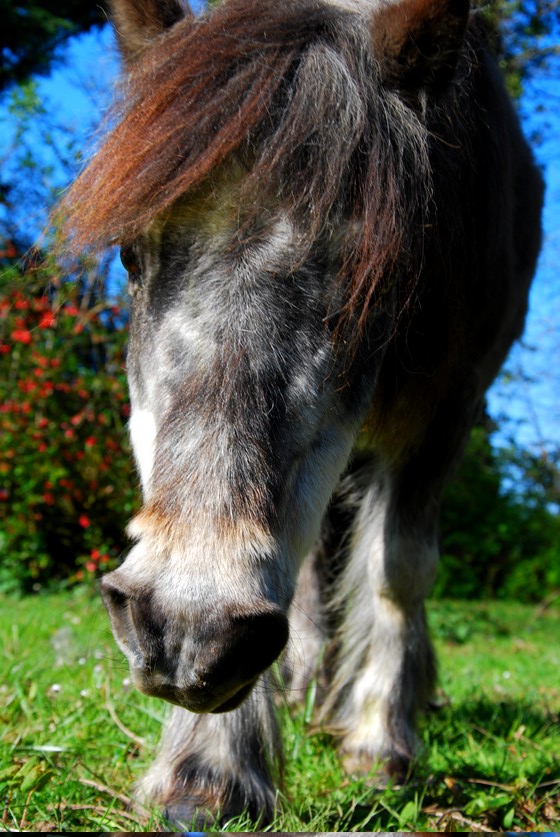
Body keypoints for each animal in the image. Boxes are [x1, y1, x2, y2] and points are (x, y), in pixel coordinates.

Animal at [60, 0, 544, 828]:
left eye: (381, 274)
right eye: (129, 255)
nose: (186, 632)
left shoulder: (447, 411)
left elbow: (399, 568)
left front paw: (381, 743)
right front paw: (208, 768)